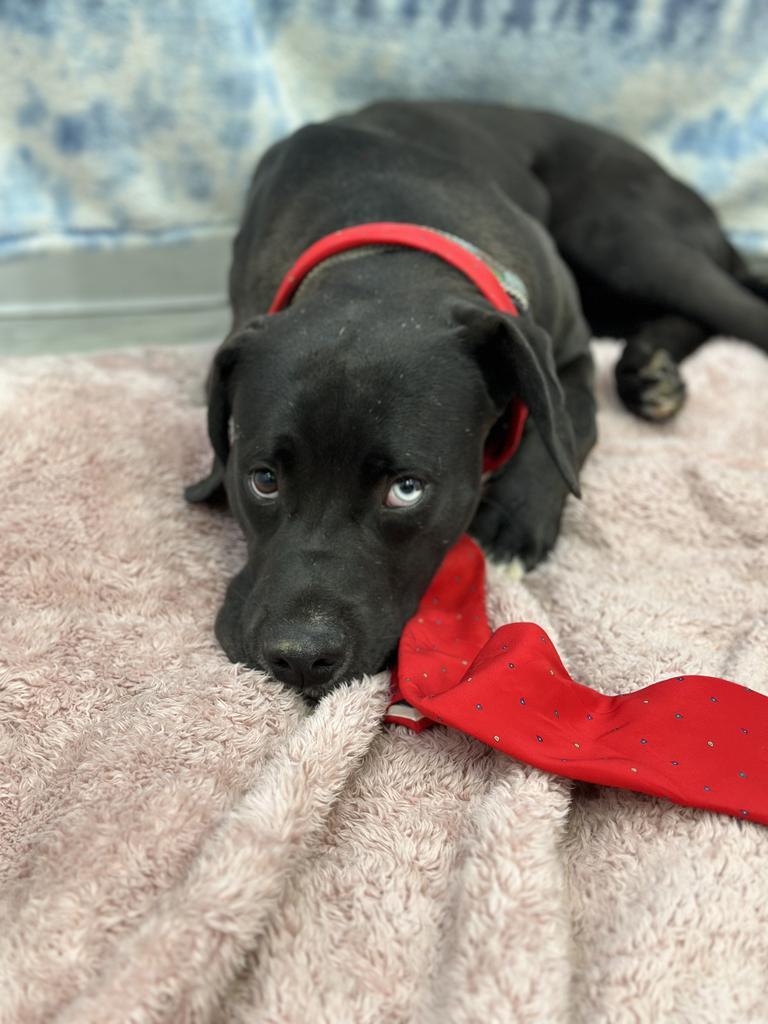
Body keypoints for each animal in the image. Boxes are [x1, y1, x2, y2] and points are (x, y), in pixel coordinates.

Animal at [188, 99, 768, 704]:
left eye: (407, 489)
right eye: (263, 479)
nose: (300, 657)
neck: (385, 257)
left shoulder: (567, 351)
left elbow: (570, 421)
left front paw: (515, 519)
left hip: (624, 243)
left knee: (742, 308)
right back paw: (649, 373)